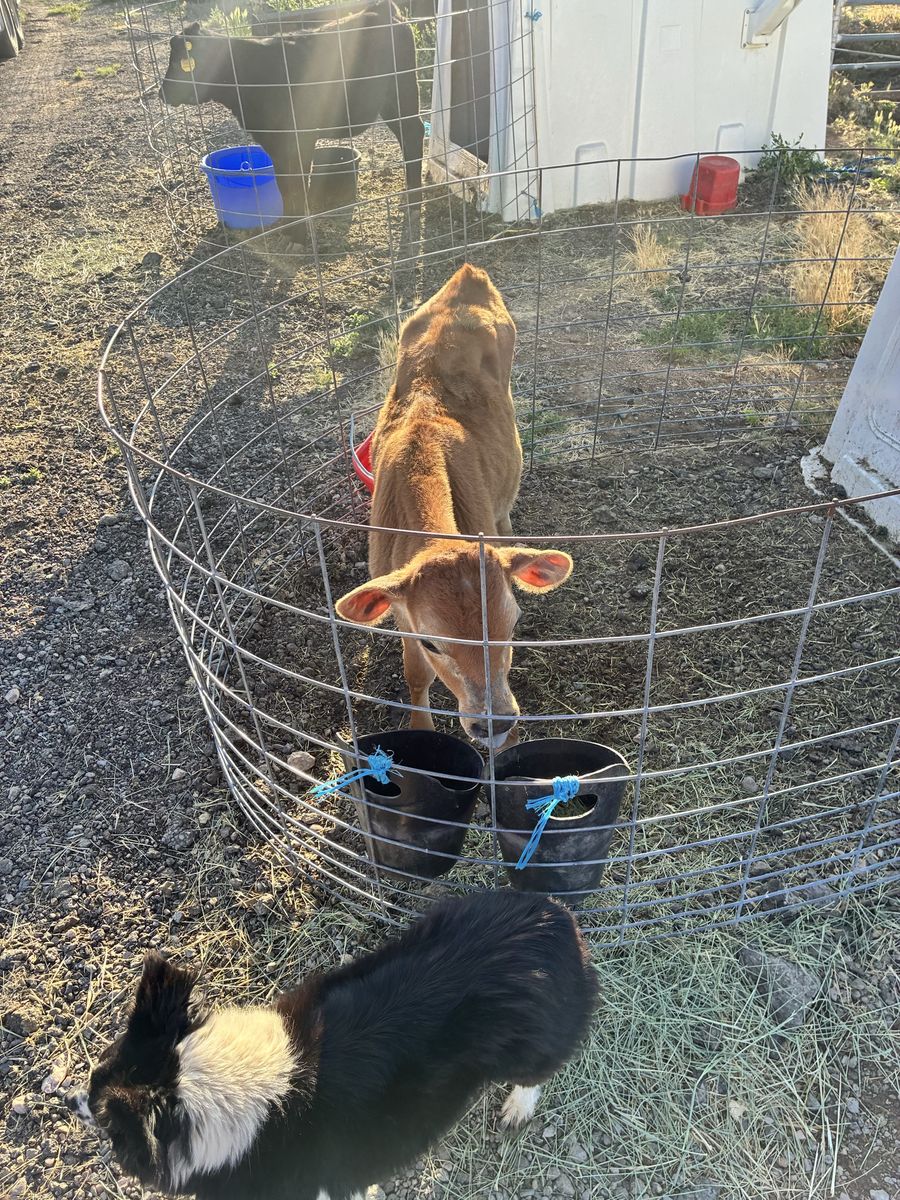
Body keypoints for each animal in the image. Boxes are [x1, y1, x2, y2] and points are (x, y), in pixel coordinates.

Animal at [160, 0, 423, 241]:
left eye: (180, 63)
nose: (163, 92)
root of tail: (381, 9)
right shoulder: (274, 143)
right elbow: (284, 185)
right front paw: (287, 227)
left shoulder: (300, 137)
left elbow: (298, 184)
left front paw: (299, 235)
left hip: (402, 93)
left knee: (414, 134)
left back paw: (414, 200)